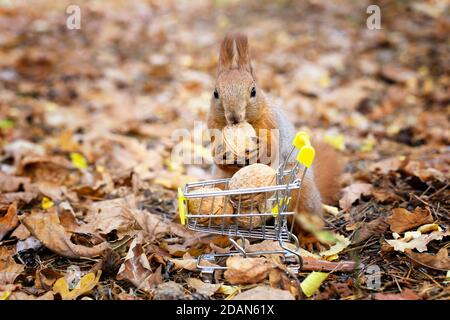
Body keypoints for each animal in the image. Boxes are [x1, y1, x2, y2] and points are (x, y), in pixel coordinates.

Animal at [207, 32, 342, 218]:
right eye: (215, 93)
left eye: (253, 91)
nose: (234, 117)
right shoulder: (212, 126)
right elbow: (216, 156)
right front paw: (223, 153)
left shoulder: (272, 122)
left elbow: (272, 148)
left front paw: (260, 149)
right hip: (220, 185)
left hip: (302, 192)